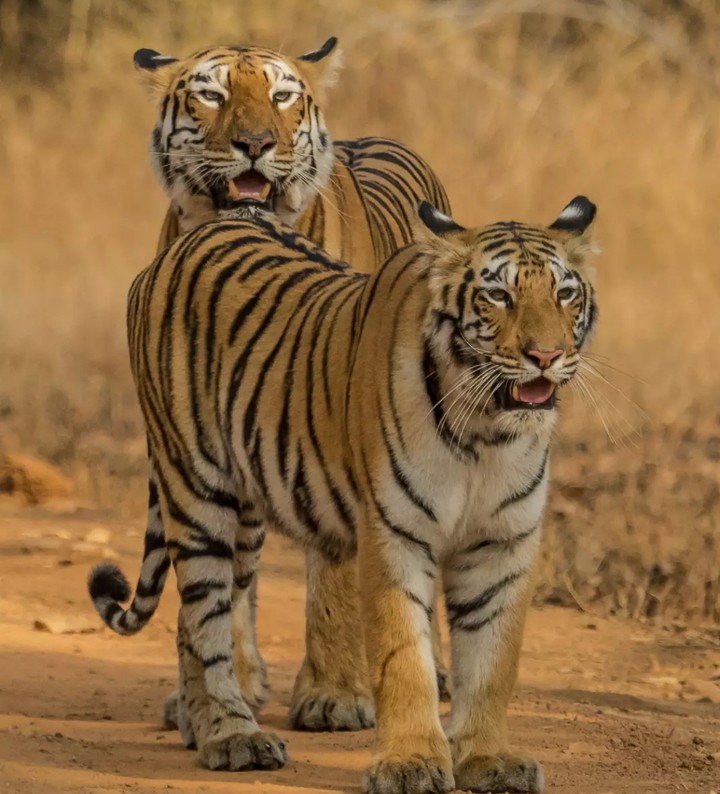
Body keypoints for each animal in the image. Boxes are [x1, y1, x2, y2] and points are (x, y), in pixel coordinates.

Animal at [89, 194, 598, 792]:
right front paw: (411, 764)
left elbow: (492, 660)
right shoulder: (395, 534)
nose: (546, 356)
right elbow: (404, 659)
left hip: (245, 513)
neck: (487, 431)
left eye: (565, 294)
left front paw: (487, 758)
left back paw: (201, 726)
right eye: (498, 295)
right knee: (203, 618)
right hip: (194, 490)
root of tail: (189, 239)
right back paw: (232, 736)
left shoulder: (502, 542)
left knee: (204, 617)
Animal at [130, 36, 454, 739]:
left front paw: (335, 697)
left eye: (282, 96)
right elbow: (218, 573)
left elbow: (335, 572)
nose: (255, 143)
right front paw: (218, 694)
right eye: (212, 94)